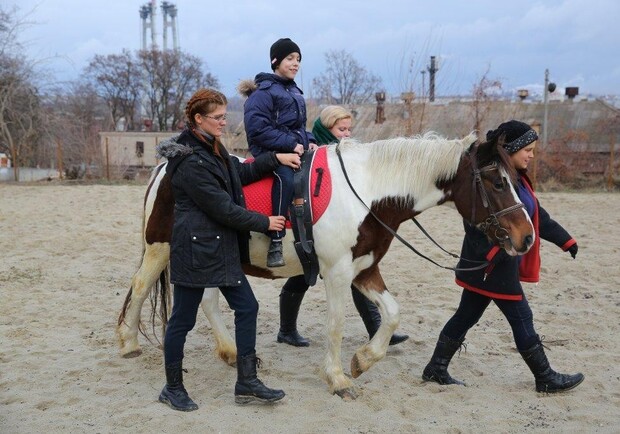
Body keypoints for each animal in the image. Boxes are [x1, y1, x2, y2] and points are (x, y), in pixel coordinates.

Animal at [118, 133, 536, 400]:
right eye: (498, 182)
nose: (527, 237)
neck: (368, 193)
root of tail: (165, 167)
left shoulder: (364, 269)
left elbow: (392, 314)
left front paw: (362, 361)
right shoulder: (337, 273)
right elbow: (336, 325)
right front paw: (338, 379)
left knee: (206, 302)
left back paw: (231, 353)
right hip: (160, 249)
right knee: (139, 286)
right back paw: (128, 343)